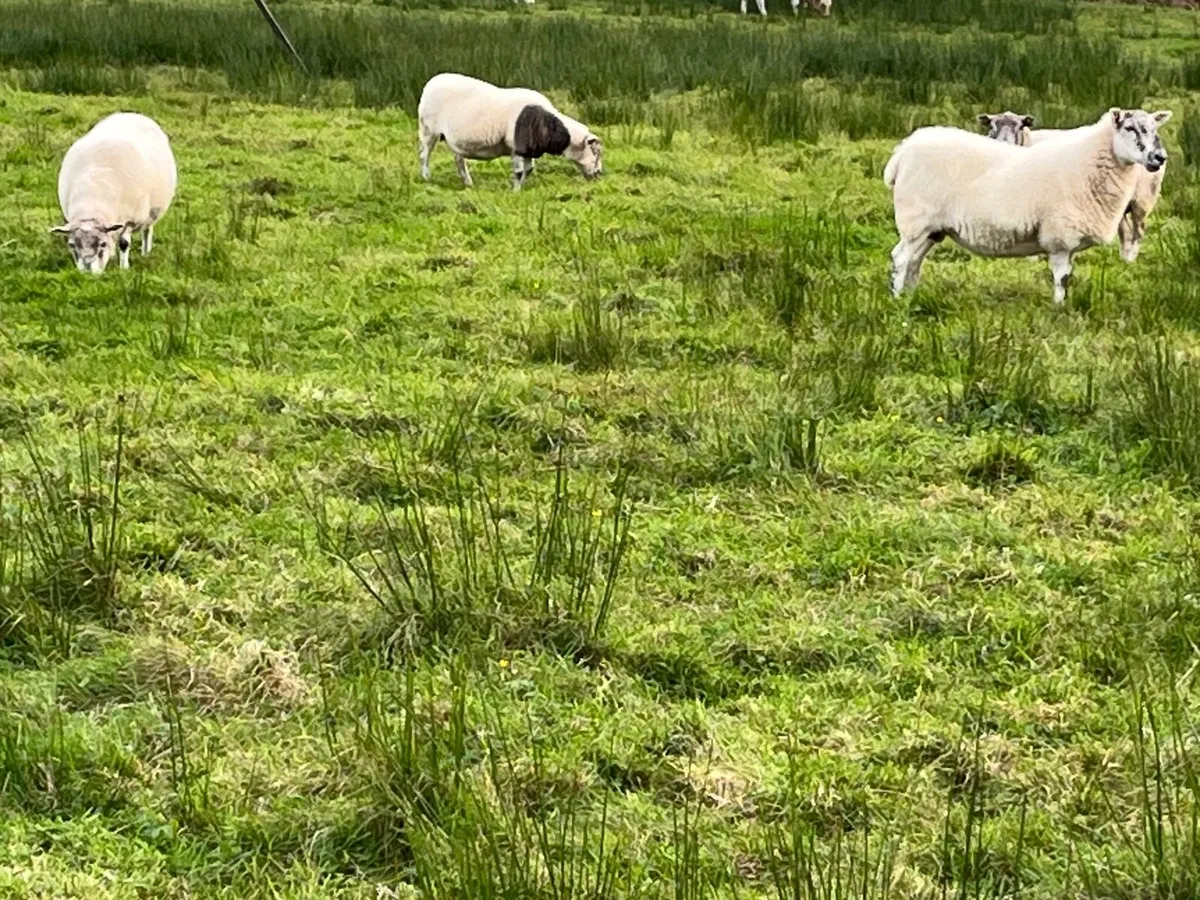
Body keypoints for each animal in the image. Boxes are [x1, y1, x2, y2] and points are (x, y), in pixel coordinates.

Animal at [51, 112, 177, 275]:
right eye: (72, 245)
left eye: (103, 244)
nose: (88, 274)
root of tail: (131, 113)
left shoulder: (130, 219)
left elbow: (124, 243)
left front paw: (124, 267)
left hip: (150, 212)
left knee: (147, 230)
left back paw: (146, 252)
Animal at [417, 73, 603, 192]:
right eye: (595, 152)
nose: (599, 174)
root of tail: (432, 81)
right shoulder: (517, 148)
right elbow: (519, 172)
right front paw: (515, 191)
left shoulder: (528, 149)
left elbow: (529, 170)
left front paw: (519, 189)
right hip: (428, 129)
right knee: (424, 155)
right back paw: (426, 178)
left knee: (459, 160)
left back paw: (468, 183)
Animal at [978, 110, 1166, 264]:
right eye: (991, 126)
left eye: (1020, 126)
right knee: (1125, 231)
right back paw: (1124, 260)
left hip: (1143, 198)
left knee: (1138, 230)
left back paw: (1131, 260)